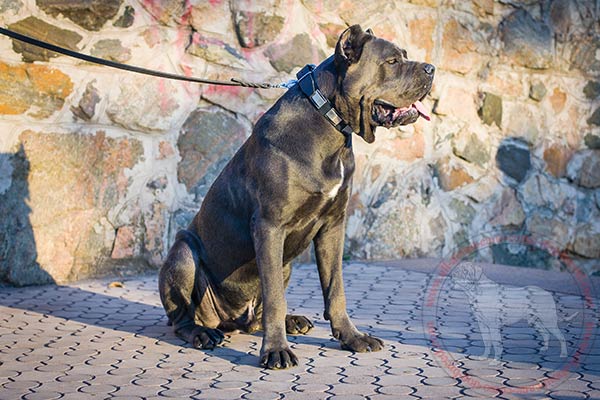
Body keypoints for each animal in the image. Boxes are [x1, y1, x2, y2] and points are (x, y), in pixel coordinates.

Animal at [157, 25, 434, 368]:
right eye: (393, 61)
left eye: (405, 56)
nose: (431, 69)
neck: (329, 124)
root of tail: (229, 320)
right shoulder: (269, 226)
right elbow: (276, 296)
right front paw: (276, 350)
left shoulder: (333, 225)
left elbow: (336, 288)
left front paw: (352, 337)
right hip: (183, 254)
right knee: (182, 317)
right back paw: (203, 333)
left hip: (284, 264)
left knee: (256, 317)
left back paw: (292, 321)